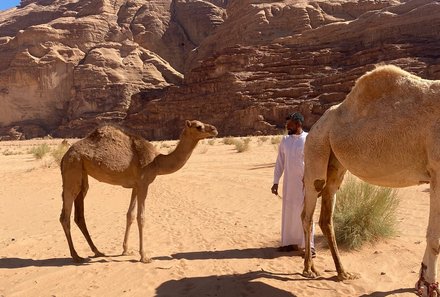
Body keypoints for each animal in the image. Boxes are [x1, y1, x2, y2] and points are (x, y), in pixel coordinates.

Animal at [59, 119, 217, 262]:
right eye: (199, 126)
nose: (214, 129)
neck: (157, 162)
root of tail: (63, 157)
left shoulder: (136, 185)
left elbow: (130, 215)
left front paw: (126, 250)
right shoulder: (143, 184)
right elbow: (141, 218)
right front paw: (144, 256)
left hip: (82, 175)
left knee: (79, 215)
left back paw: (97, 251)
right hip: (73, 168)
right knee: (65, 216)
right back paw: (76, 256)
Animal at [300, 65, 440, 296]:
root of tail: (316, 124)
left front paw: (423, 284)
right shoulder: (437, 169)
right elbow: (435, 237)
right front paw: (428, 286)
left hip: (335, 160)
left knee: (326, 215)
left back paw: (343, 273)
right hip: (315, 147)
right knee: (307, 211)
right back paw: (309, 269)